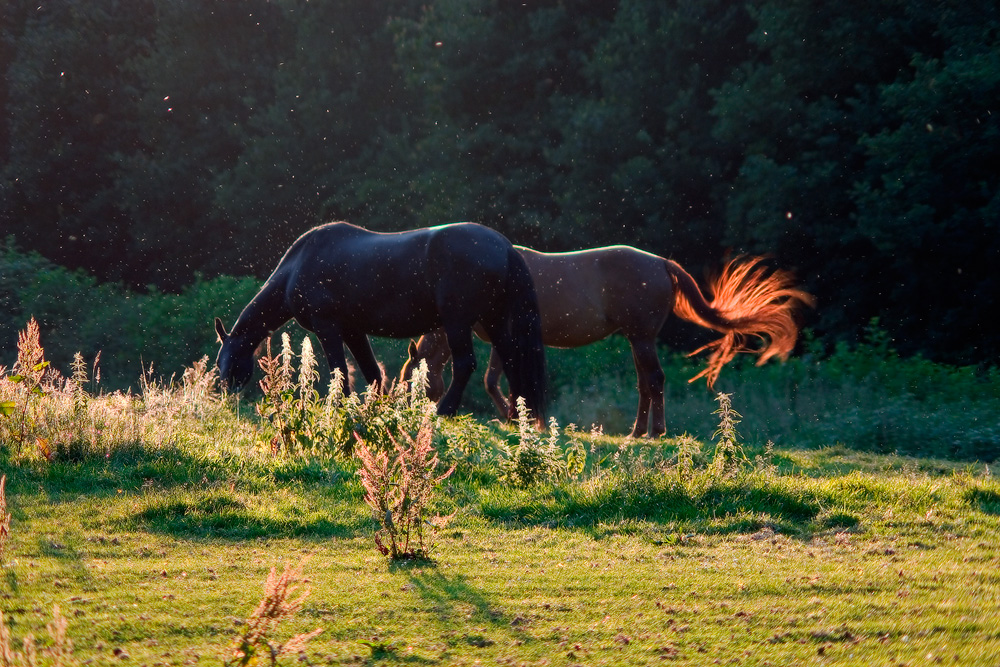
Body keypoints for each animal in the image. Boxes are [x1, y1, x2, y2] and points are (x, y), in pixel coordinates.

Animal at [212, 224, 552, 420]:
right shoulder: (353, 330)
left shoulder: (328, 328)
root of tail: (505, 247)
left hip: (458, 322)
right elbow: (372, 372)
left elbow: (338, 371)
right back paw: (517, 416)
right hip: (494, 322)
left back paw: (445, 412)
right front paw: (374, 407)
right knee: (510, 360)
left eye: (223, 361)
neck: (298, 266)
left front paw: (341, 408)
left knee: (465, 364)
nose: (224, 396)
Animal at [398, 245, 812, 438]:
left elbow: (492, 381)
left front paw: (513, 416)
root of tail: (662, 263)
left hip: (641, 339)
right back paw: (638, 430)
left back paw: (653, 431)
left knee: (654, 380)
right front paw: (516, 416)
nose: (408, 412)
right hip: (636, 341)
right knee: (646, 383)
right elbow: (500, 380)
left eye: (407, 381)